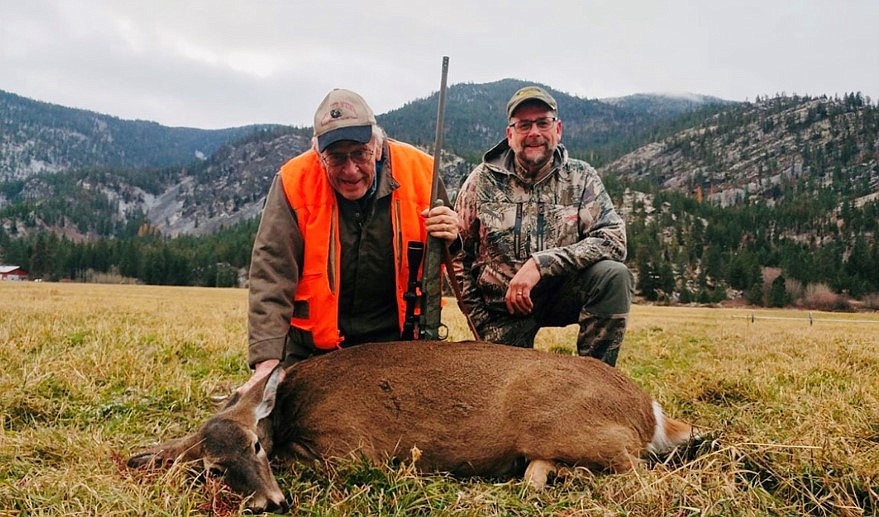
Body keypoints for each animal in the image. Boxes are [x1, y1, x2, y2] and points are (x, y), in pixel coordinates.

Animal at [127, 338, 700, 512]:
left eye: (255, 447)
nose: (271, 504)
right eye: (213, 469)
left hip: (575, 428)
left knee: (639, 469)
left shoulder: (354, 448)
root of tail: (648, 408)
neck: (289, 413)